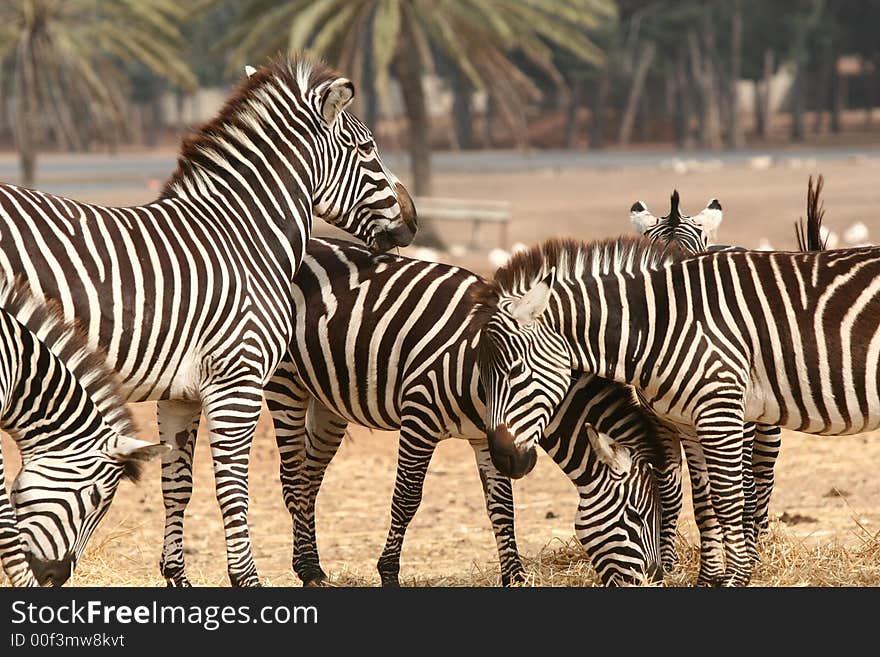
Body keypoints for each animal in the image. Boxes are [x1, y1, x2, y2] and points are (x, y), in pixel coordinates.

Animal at [258, 238, 664, 588]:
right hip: (286, 383)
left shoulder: (487, 438)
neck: (480, 377)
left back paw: (310, 566)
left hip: (326, 401)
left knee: (309, 478)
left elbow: (502, 508)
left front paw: (515, 578)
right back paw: (309, 570)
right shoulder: (419, 418)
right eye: (637, 517)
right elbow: (406, 498)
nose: (656, 579)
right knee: (292, 477)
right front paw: (388, 573)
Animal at [478, 236, 880, 584]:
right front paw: (709, 580)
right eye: (480, 379)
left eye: (514, 371)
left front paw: (736, 579)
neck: (658, 326)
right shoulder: (688, 422)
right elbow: (704, 504)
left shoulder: (720, 410)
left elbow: (728, 500)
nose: (503, 458)